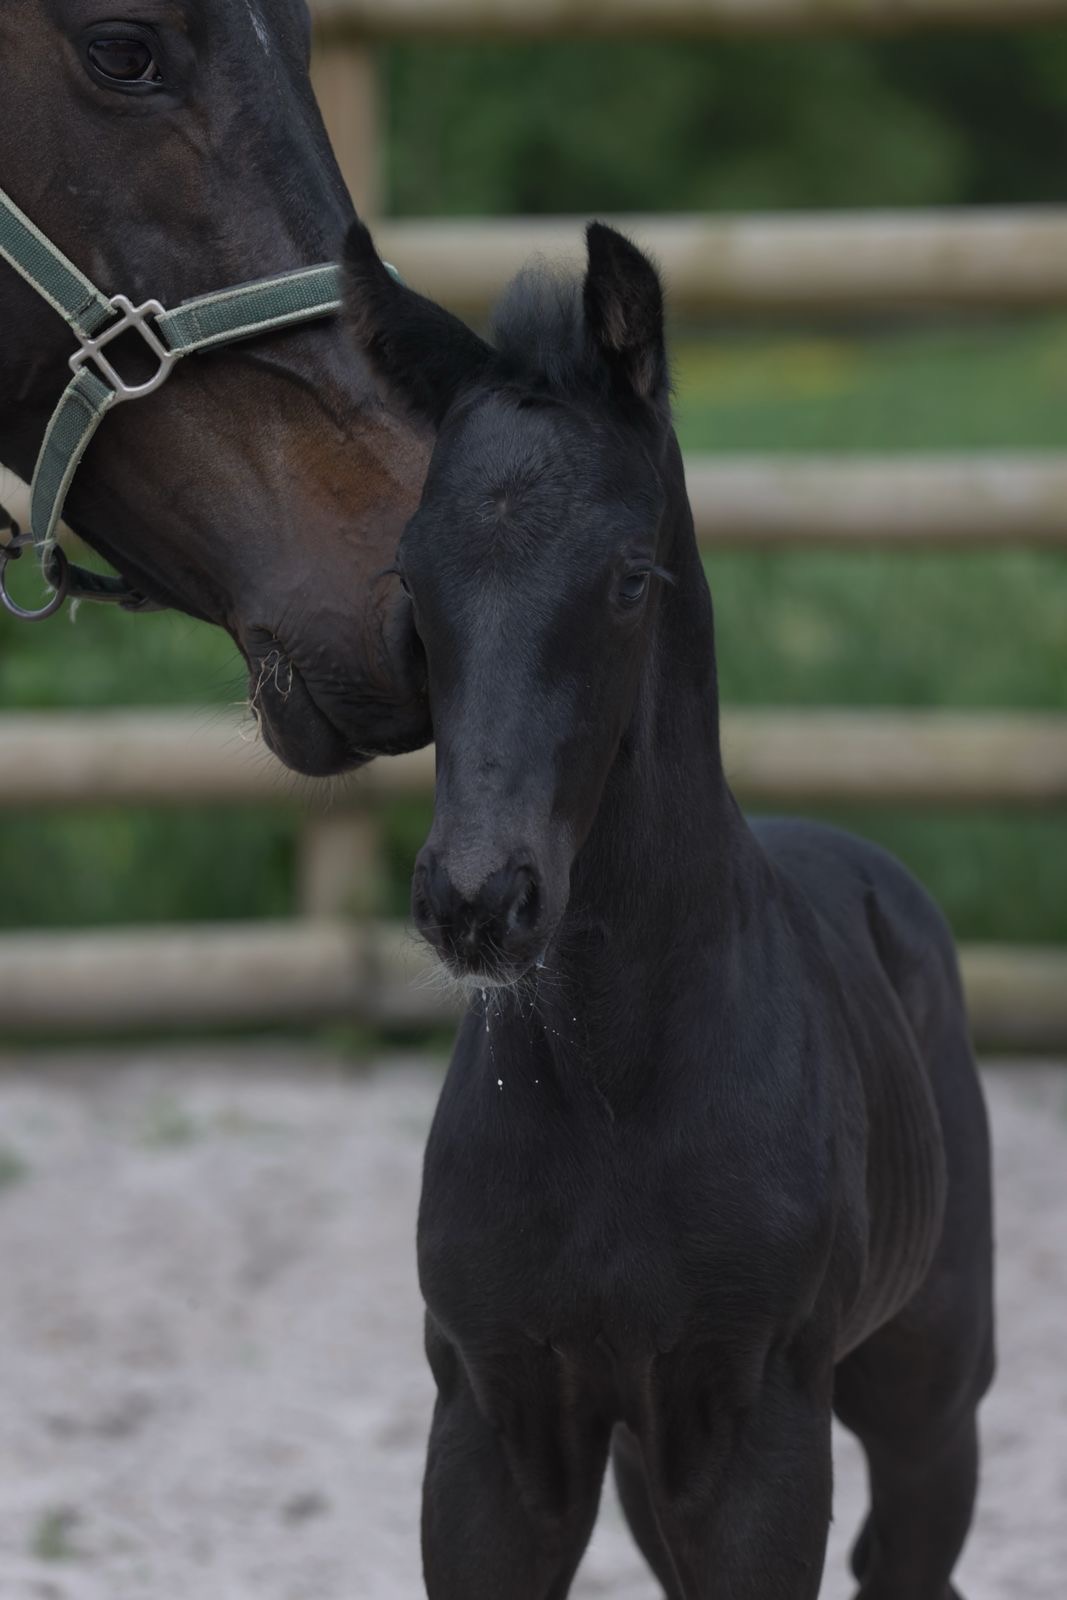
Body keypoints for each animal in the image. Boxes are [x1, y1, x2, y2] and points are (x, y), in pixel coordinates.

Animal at [342, 219, 995, 1599]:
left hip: (928, 1390)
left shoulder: (756, 1432)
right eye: (411, 575)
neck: (612, 1078)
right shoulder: (495, 1423)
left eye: (629, 576)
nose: (477, 899)